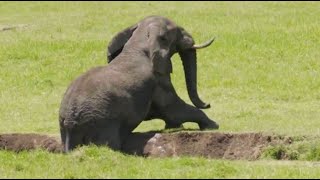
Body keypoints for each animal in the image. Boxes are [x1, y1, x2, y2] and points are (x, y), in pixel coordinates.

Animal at [58, 15, 219, 153]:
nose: (208, 104)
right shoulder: (158, 81)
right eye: (177, 30)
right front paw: (213, 126)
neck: (139, 42)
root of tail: (70, 121)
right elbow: (173, 109)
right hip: (102, 123)